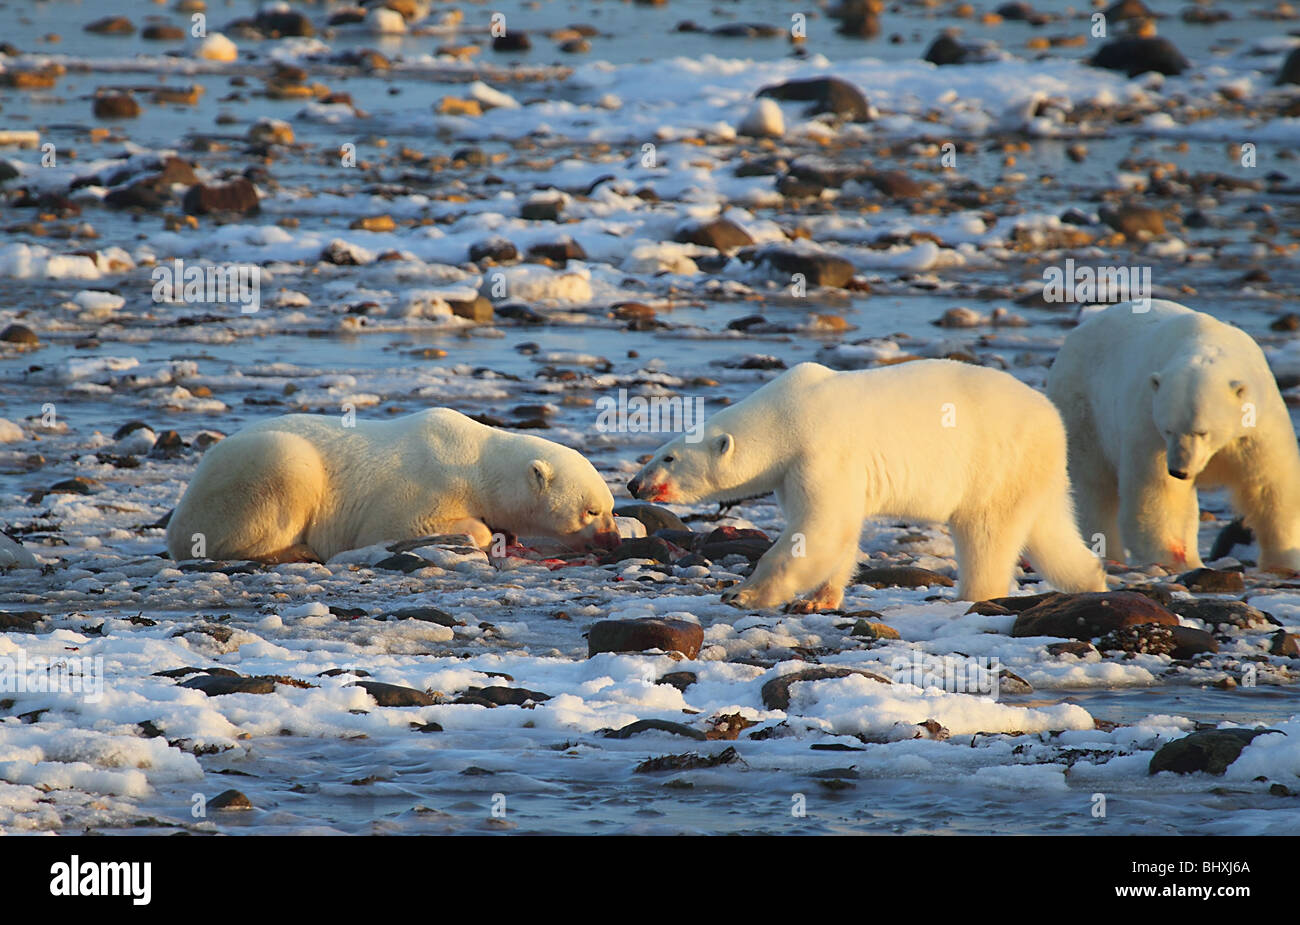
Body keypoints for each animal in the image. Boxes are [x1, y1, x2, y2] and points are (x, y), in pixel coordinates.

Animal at [165, 405, 621, 563]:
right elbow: (397, 525)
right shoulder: (424, 485)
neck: (474, 460)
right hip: (259, 472)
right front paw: (485, 532)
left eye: (612, 508)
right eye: (591, 510)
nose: (613, 539)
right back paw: (297, 549)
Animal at [626, 358, 1107, 608]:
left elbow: (821, 528)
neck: (786, 416)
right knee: (1049, 531)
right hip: (1032, 473)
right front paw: (818, 599)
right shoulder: (792, 470)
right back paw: (1092, 581)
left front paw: (743, 593)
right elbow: (835, 532)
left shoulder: (822, 450)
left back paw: (969, 595)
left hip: (994, 462)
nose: (634, 484)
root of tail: (1051, 418)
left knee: (986, 532)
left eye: (668, 457)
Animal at [1045, 300, 1300, 571]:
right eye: (1168, 429)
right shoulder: (1149, 424)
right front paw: (1172, 559)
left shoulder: (1255, 425)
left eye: (1202, 431)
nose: (1179, 471)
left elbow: (1269, 485)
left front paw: (1283, 559)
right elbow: (1159, 492)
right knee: (1093, 487)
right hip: (1083, 409)